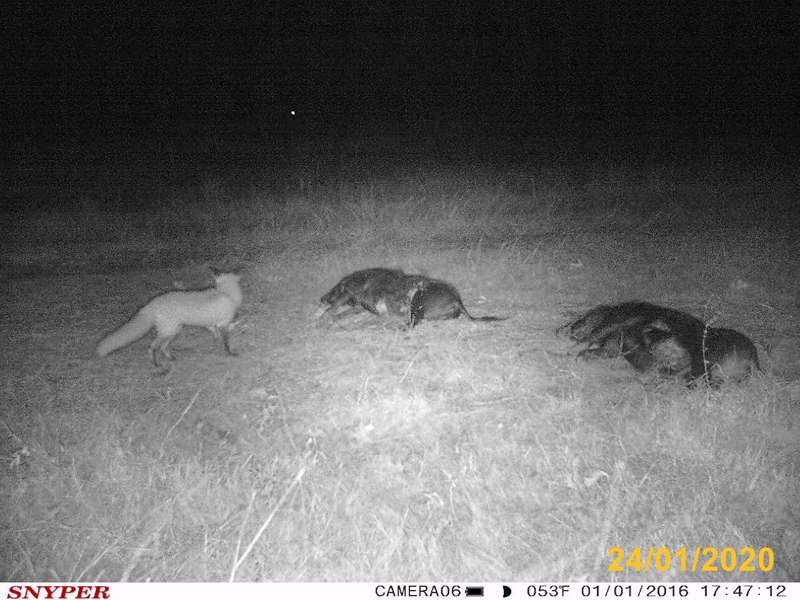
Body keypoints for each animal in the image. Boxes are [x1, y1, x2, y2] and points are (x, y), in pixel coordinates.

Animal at [96, 273, 243, 366]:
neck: (226, 292)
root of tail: (150, 304)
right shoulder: (223, 324)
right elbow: (226, 342)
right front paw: (230, 354)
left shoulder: (212, 326)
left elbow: (217, 339)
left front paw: (216, 349)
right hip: (169, 332)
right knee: (152, 347)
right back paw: (157, 365)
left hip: (172, 331)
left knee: (162, 348)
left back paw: (171, 358)